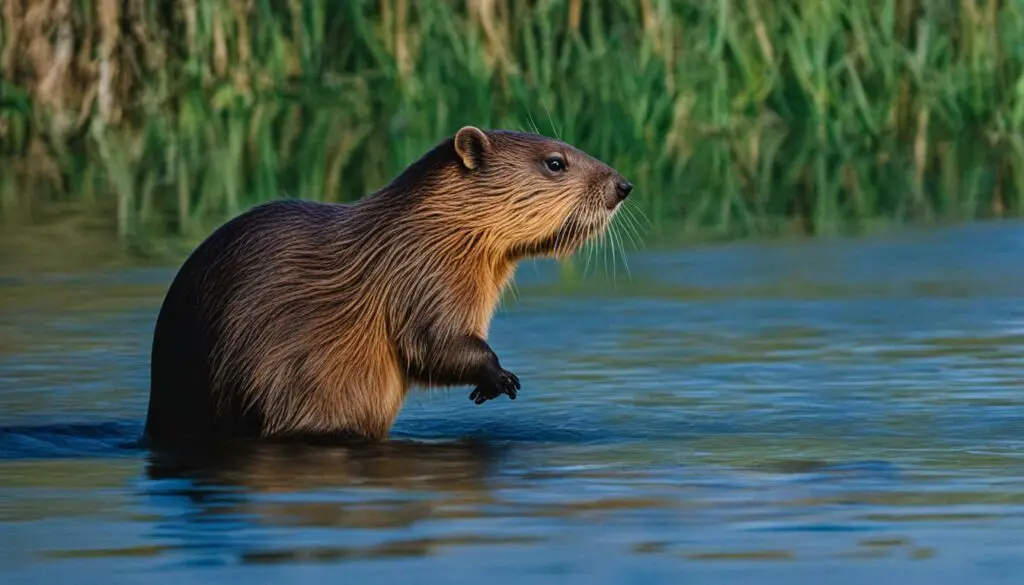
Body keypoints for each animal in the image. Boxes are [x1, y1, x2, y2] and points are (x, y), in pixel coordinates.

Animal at [144, 127, 630, 448]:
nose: (622, 185)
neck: (422, 228)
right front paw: (499, 379)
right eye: (555, 162)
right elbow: (429, 344)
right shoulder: (425, 274)